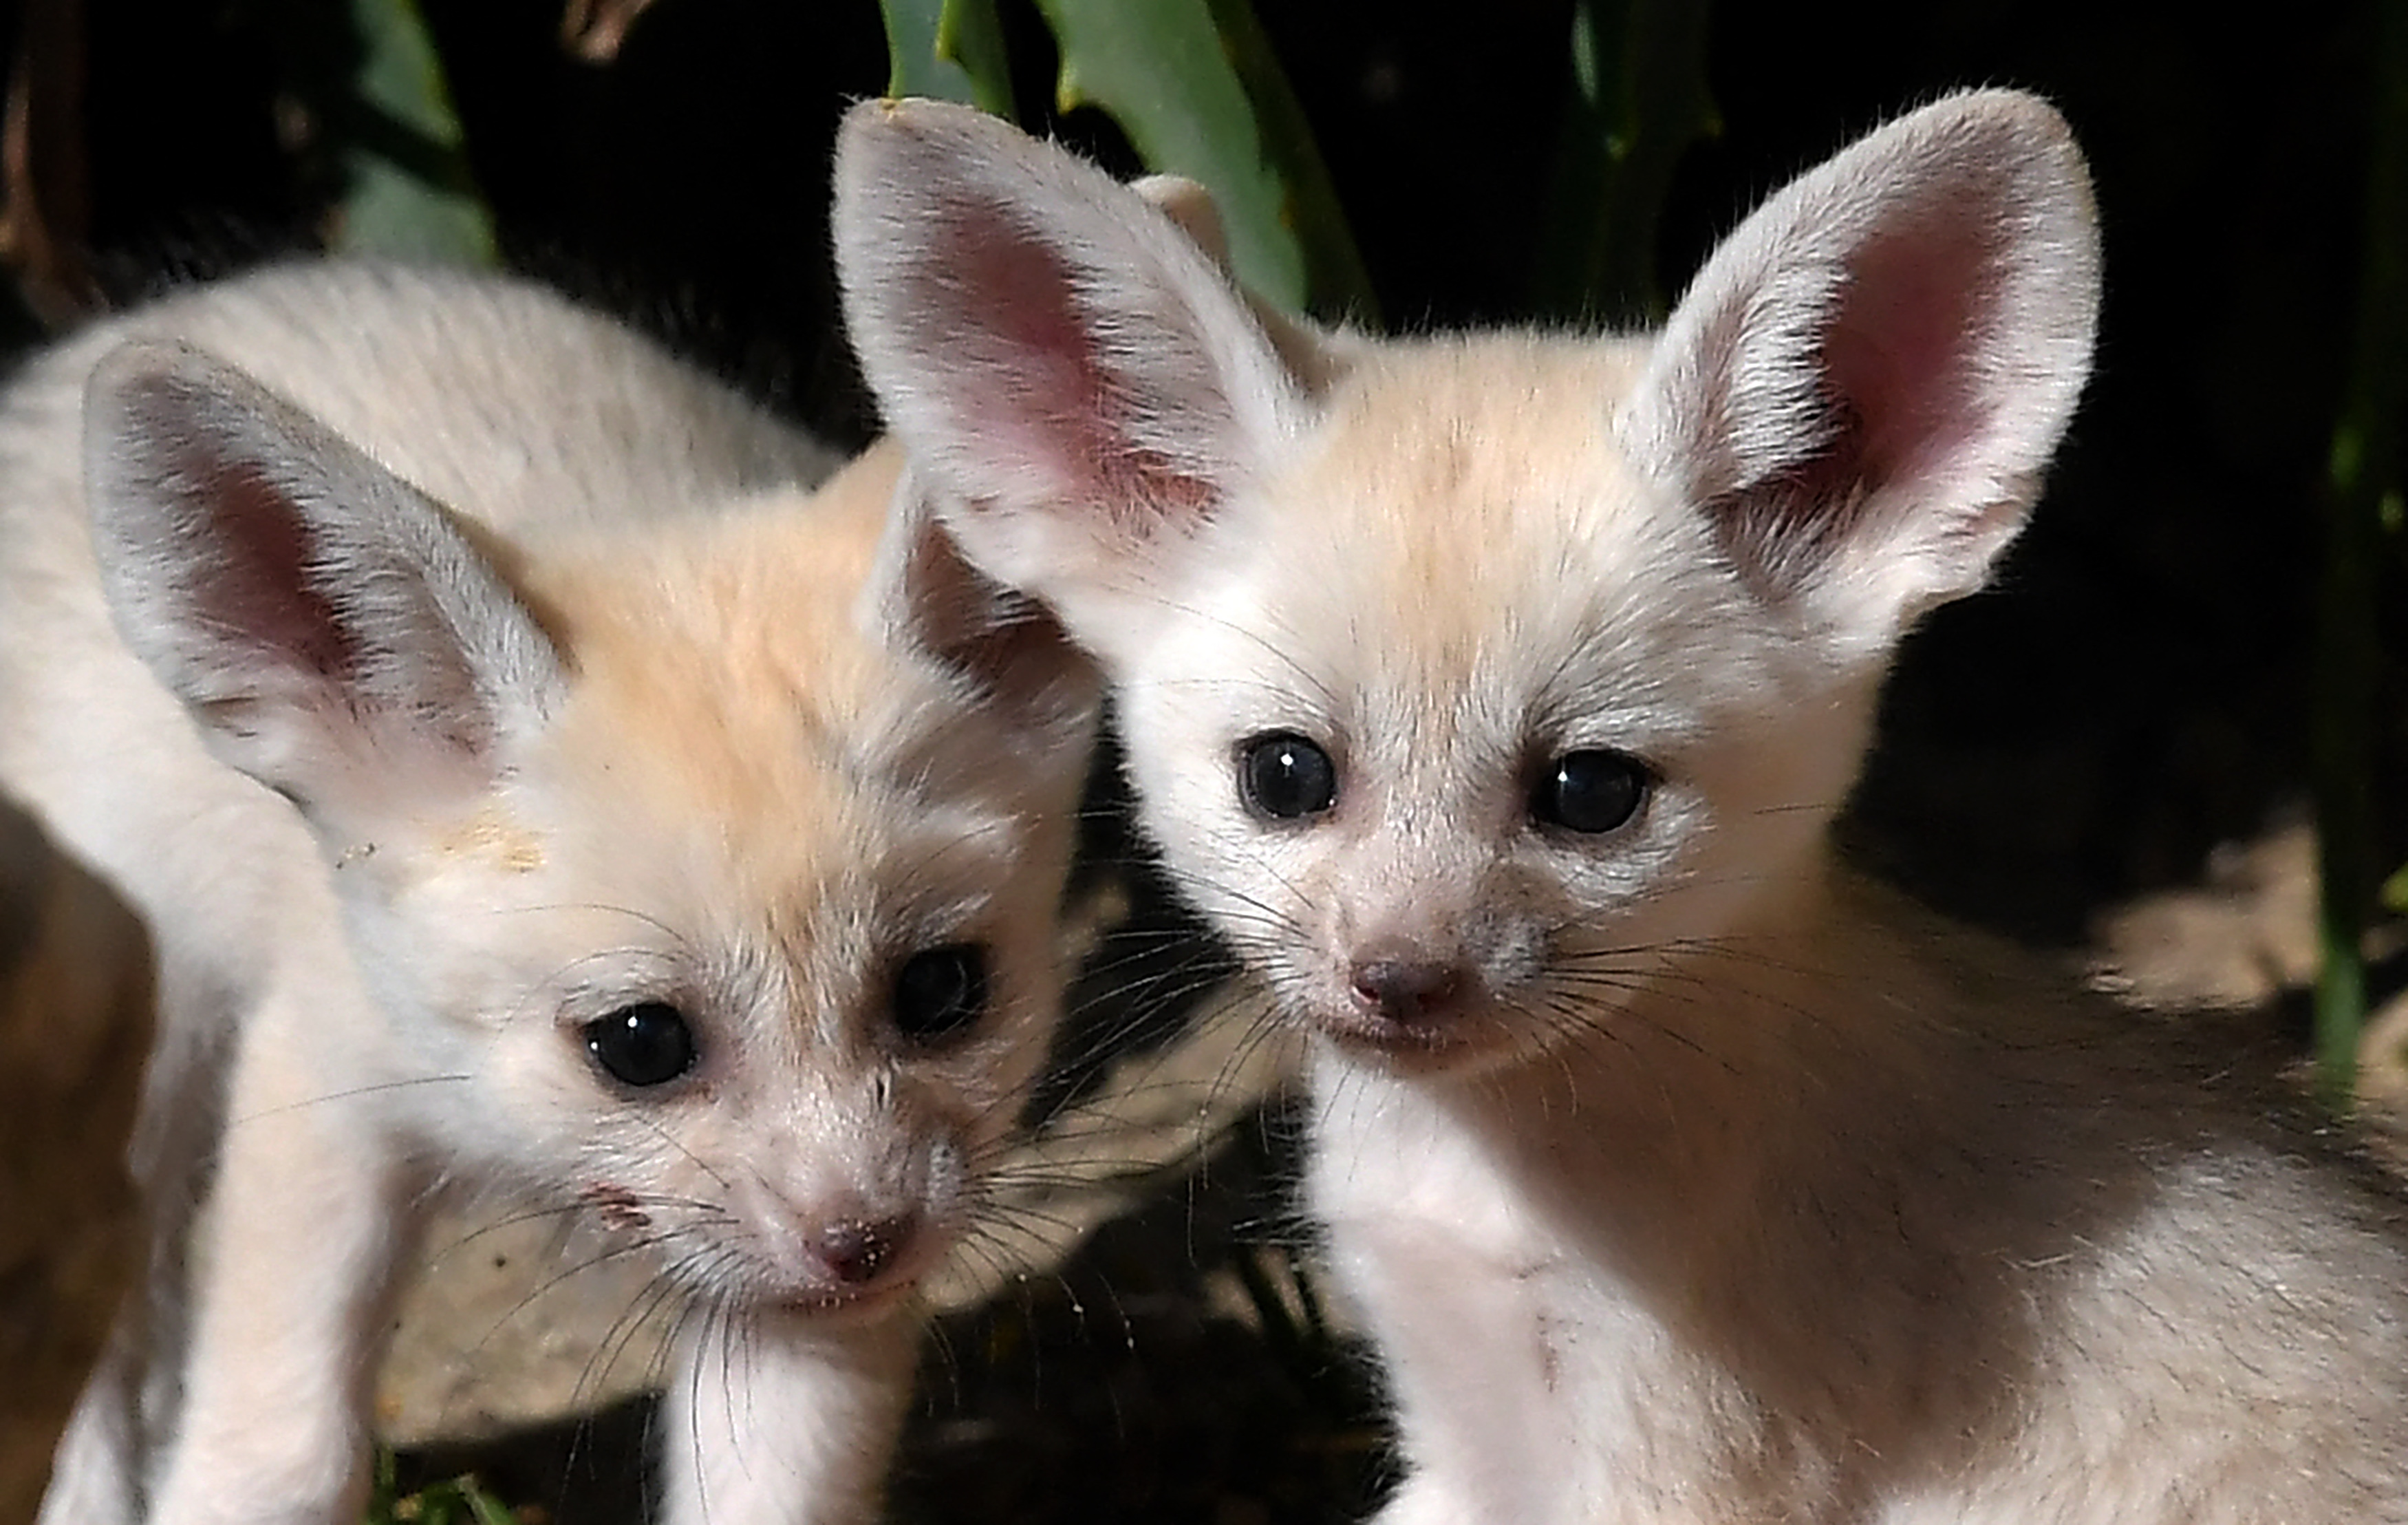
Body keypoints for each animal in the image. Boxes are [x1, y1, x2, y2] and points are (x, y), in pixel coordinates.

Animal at [0, 261, 1097, 1525]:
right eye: (638, 1043)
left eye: (941, 992)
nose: (867, 1243)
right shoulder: (322, 1079)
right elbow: (275, 1456)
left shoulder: (781, 1295)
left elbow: (772, 1488)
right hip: (143, 1045)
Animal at [831, 92, 2408, 1521]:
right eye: (1285, 775)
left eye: (1590, 793)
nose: (1397, 979)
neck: (1479, 1177)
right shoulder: (1455, 1441)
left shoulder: (1678, 1456)